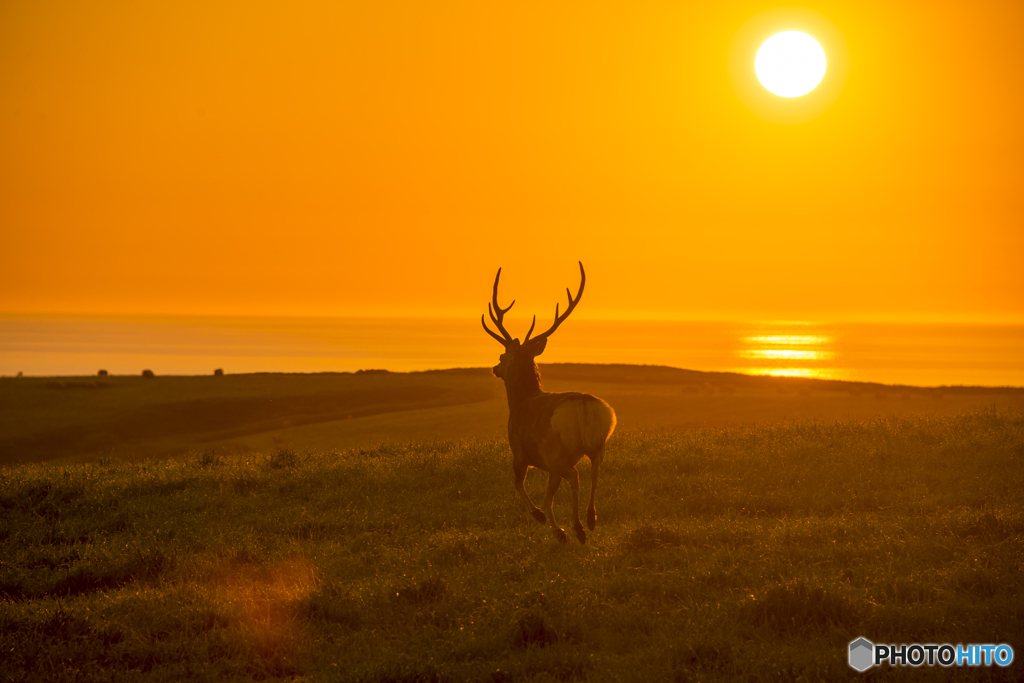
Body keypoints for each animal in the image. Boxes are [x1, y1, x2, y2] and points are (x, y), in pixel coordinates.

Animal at [481, 262, 614, 544]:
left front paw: (544, 520)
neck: (519, 401)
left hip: (555, 451)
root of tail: (584, 406)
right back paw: (590, 518)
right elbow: (548, 496)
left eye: (502, 355)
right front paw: (558, 530)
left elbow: (519, 484)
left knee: (574, 475)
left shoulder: (520, 451)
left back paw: (578, 527)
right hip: (598, 443)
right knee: (595, 469)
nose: (495, 368)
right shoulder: (548, 465)